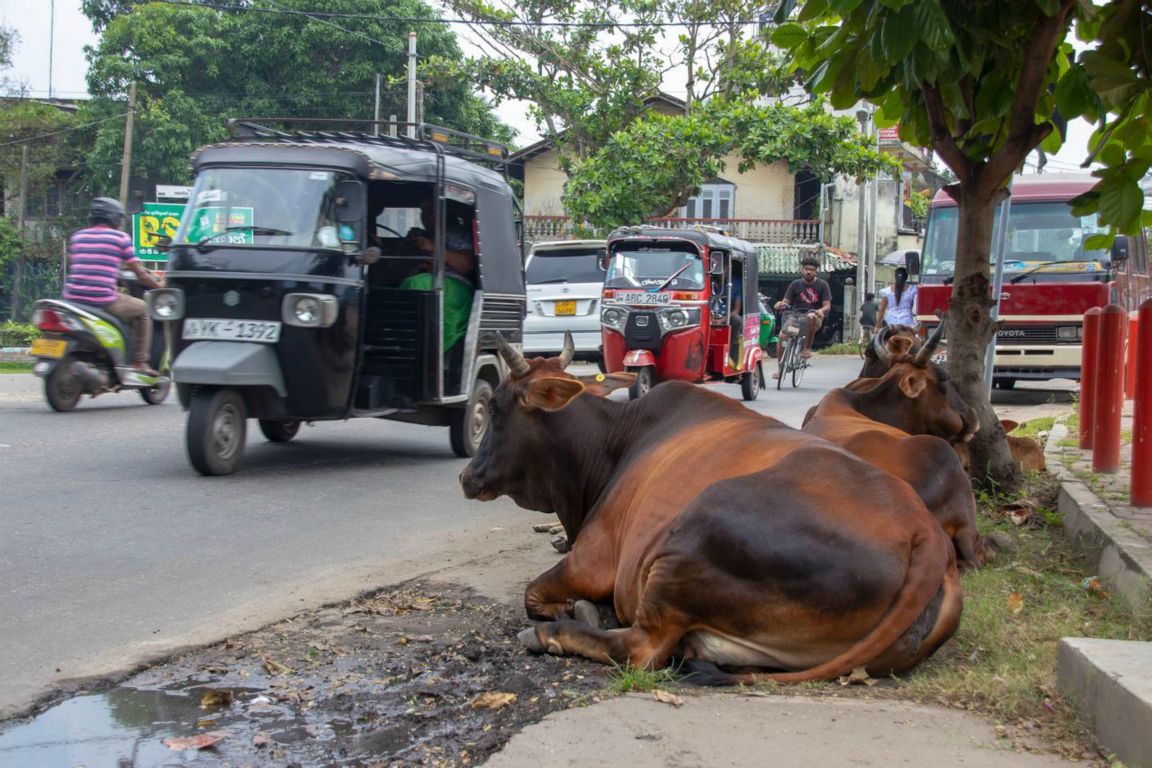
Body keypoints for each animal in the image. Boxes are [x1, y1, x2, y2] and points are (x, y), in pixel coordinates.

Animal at [460, 336, 963, 686]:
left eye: (497, 408)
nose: (466, 476)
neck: (611, 444)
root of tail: (926, 535)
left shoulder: (592, 560)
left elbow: (533, 594)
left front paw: (571, 610)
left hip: (692, 536)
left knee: (641, 648)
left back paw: (562, 631)